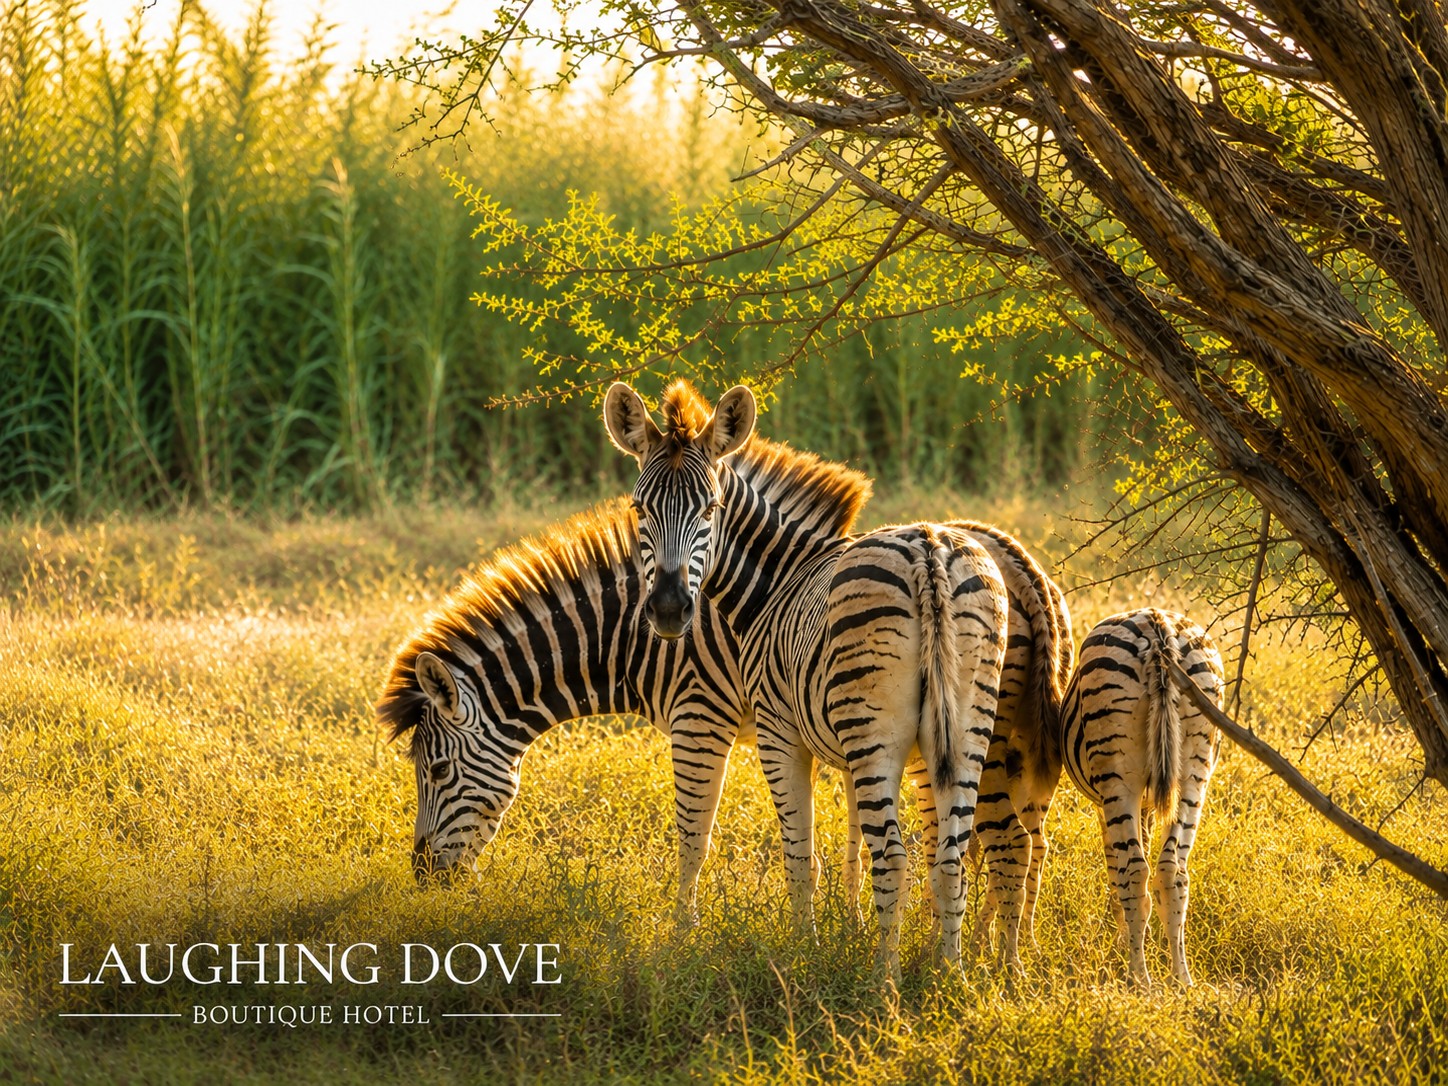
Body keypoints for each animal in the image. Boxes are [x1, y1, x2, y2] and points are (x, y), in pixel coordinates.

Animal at [376, 499, 754, 923]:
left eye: (440, 770)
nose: (422, 875)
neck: (633, 642)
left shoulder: (701, 714)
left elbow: (694, 838)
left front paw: (685, 929)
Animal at [603, 379, 1009, 978]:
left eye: (711, 507)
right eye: (639, 509)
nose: (671, 610)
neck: (777, 580)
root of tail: (928, 550)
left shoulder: (781, 734)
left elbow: (800, 852)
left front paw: (803, 952)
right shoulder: (842, 748)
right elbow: (843, 850)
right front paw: (841, 934)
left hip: (874, 733)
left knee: (895, 857)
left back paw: (884, 985)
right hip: (967, 725)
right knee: (949, 857)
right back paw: (949, 975)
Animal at [1060, 608, 1224, 987]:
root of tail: (1158, 625)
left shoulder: (1106, 806)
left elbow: (1114, 871)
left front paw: (1123, 939)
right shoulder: (1149, 805)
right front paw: (1136, 937)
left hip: (1118, 780)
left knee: (1134, 869)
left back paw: (1139, 977)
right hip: (1194, 772)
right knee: (1171, 870)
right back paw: (1180, 976)